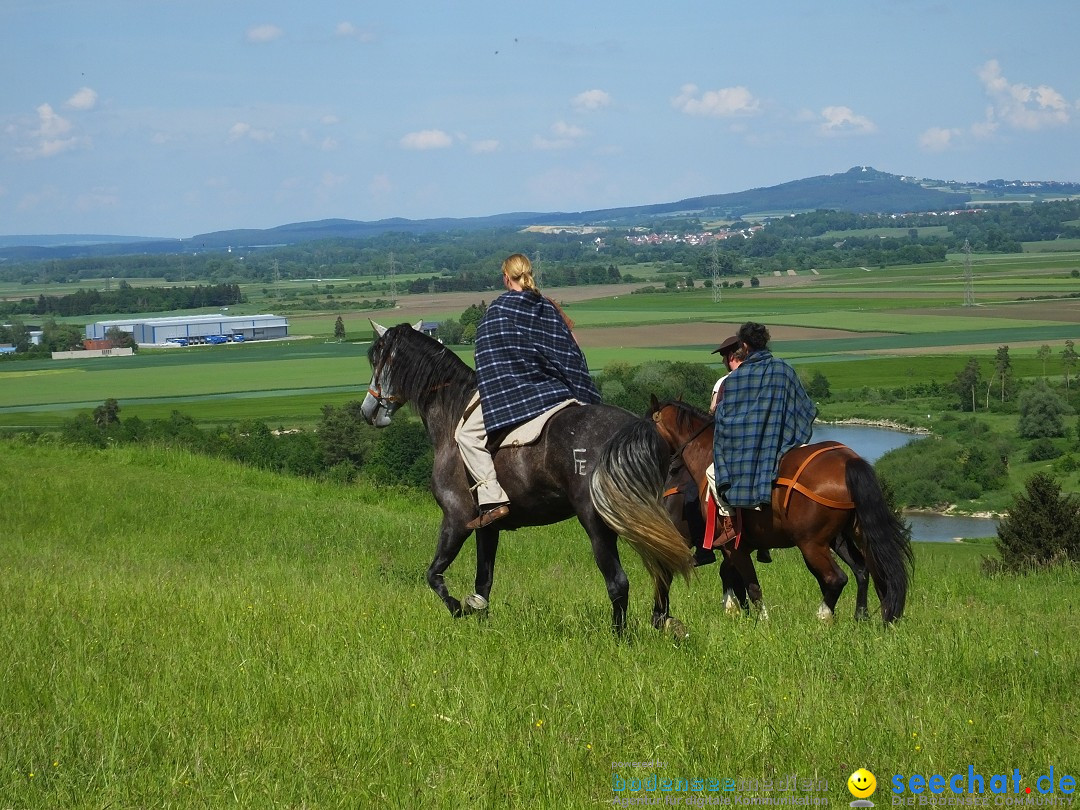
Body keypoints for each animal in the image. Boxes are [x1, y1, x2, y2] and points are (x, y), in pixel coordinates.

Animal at [358, 321, 686, 635]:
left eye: (378, 358)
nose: (367, 412)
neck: (454, 416)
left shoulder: (456, 518)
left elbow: (434, 575)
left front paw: (460, 610)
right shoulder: (487, 527)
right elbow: (483, 582)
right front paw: (482, 624)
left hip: (598, 523)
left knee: (619, 582)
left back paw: (620, 637)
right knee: (662, 571)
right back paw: (664, 624)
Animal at [648, 397, 911, 622]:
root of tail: (848, 460)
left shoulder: (731, 546)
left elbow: (750, 584)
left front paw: (759, 620)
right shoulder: (739, 547)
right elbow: (734, 577)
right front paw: (738, 612)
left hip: (812, 544)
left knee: (836, 578)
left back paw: (824, 616)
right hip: (848, 536)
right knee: (865, 570)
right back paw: (863, 616)